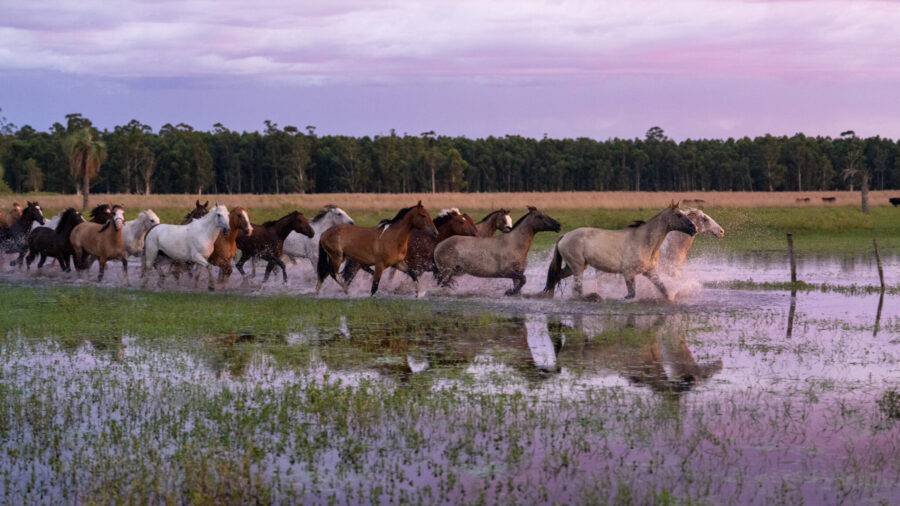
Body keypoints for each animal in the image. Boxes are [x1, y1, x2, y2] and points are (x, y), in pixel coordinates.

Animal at [542, 202, 696, 301]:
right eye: (678, 215)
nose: (694, 228)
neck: (644, 242)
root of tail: (565, 236)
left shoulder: (650, 272)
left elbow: (665, 291)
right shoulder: (628, 273)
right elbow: (630, 295)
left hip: (574, 267)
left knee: (557, 278)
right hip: (578, 267)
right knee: (578, 292)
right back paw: (594, 297)